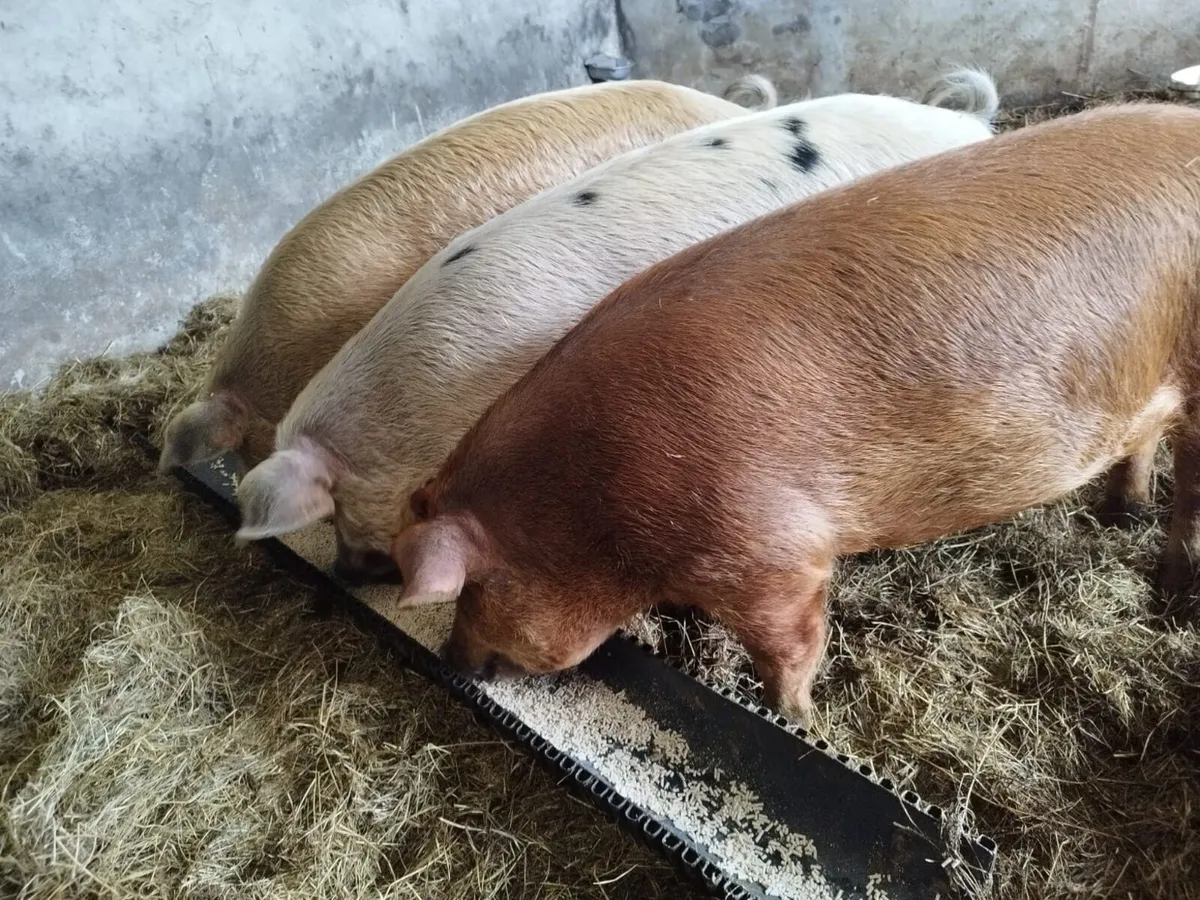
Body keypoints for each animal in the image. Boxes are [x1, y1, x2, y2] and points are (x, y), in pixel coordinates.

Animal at [391, 102, 1200, 721]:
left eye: (472, 590)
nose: (449, 660)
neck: (592, 498)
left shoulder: (774, 555)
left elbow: (791, 648)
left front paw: (798, 718)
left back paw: (1172, 590)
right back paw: (1118, 517)